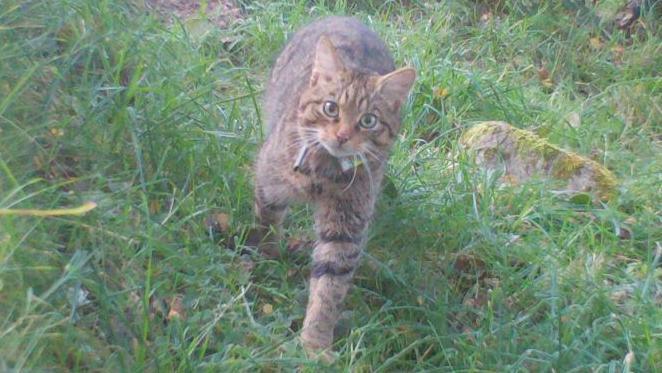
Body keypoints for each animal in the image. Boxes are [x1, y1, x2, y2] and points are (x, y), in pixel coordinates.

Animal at [253, 16, 416, 356]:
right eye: (331, 108)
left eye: (368, 121)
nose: (342, 136)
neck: (321, 173)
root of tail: (348, 17)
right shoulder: (268, 181)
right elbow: (267, 220)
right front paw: (268, 254)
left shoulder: (344, 230)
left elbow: (329, 287)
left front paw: (314, 343)